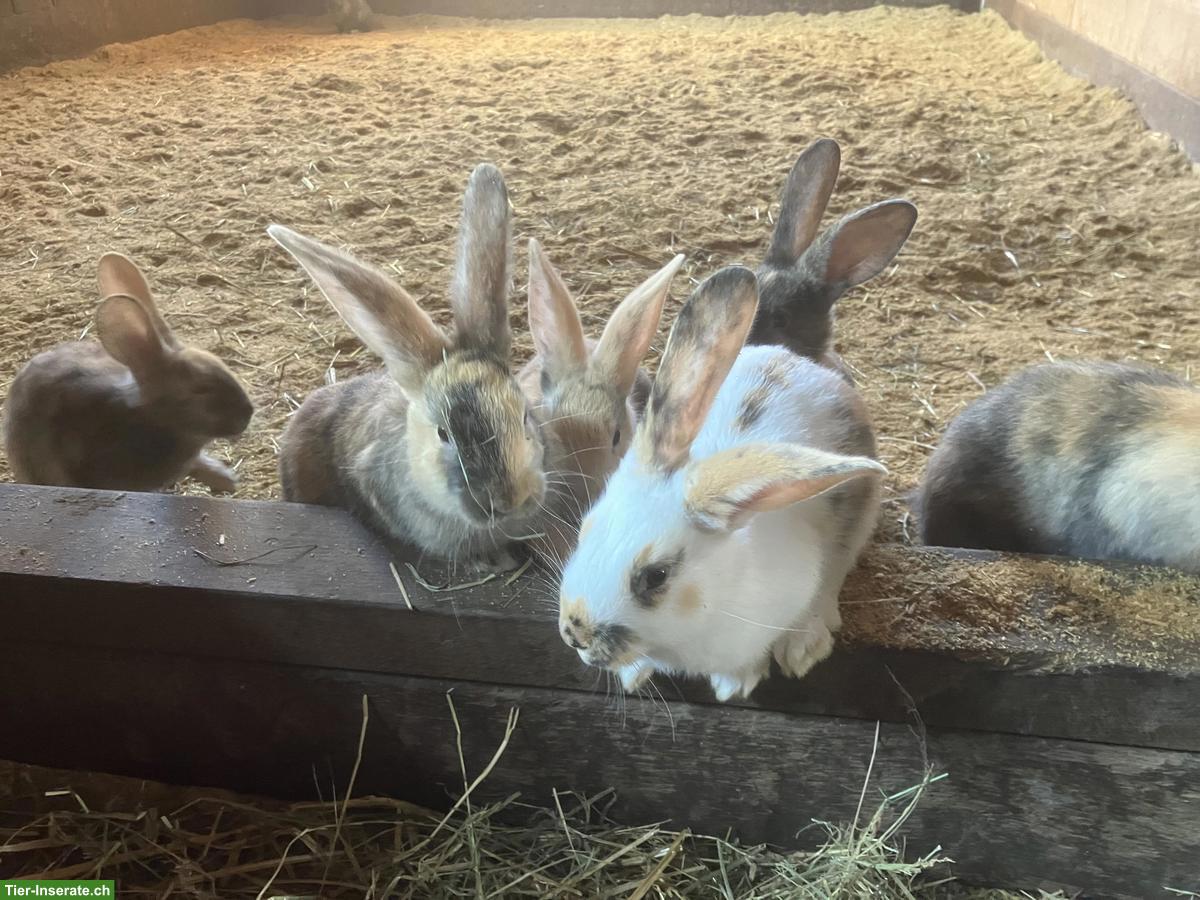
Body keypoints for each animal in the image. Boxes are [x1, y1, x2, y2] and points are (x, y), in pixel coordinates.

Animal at [556, 265, 887, 702]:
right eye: (585, 530)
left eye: (656, 576)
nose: (573, 633)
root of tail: (798, 362)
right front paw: (633, 674)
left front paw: (735, 684)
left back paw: (803, 645)